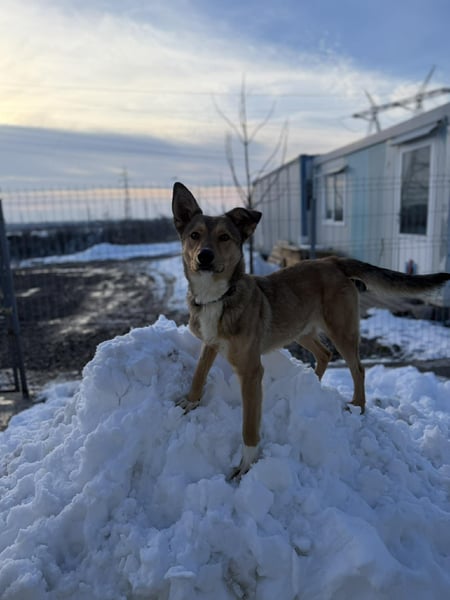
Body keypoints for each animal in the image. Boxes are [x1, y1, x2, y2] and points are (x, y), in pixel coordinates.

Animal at [172, 182, 450, 479]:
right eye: (194, 235)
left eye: (224, 237)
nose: (204, 256)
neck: (217, 297)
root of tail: (332, 261)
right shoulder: (210, 344)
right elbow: (199, 373)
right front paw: (190, 401)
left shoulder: (251, 371)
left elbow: (249, 424)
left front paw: (246, 463)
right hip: (300, 329)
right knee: (325, 354)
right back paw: (311, 384)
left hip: (341, 330)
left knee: (357, 368)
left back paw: (358, 406)